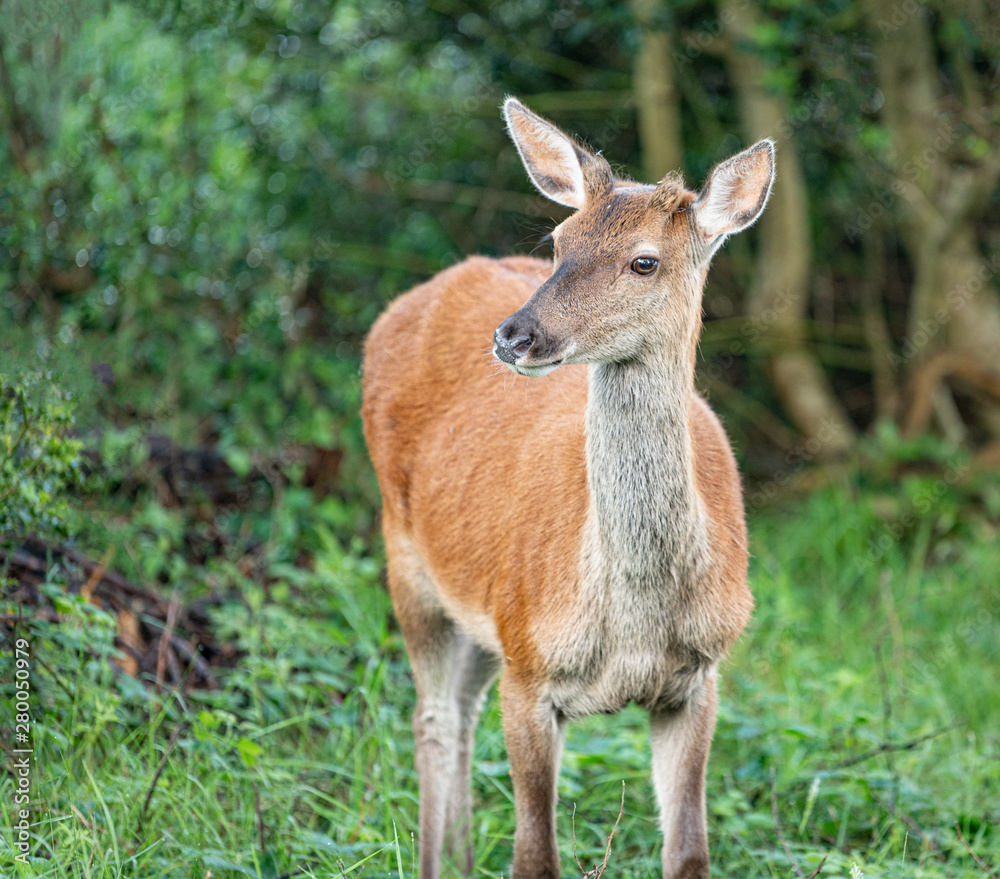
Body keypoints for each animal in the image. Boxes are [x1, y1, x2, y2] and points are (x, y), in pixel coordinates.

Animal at [364, 96, 776, 879]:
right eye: (559, 241)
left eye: (644, 260)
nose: (515, 336)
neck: (635, 624)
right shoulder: (530, 663)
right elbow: (536, 857)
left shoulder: (699, 677)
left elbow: (689, 853)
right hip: (407, 558)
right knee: (432, 718)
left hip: (481, 618)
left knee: (458, 715)